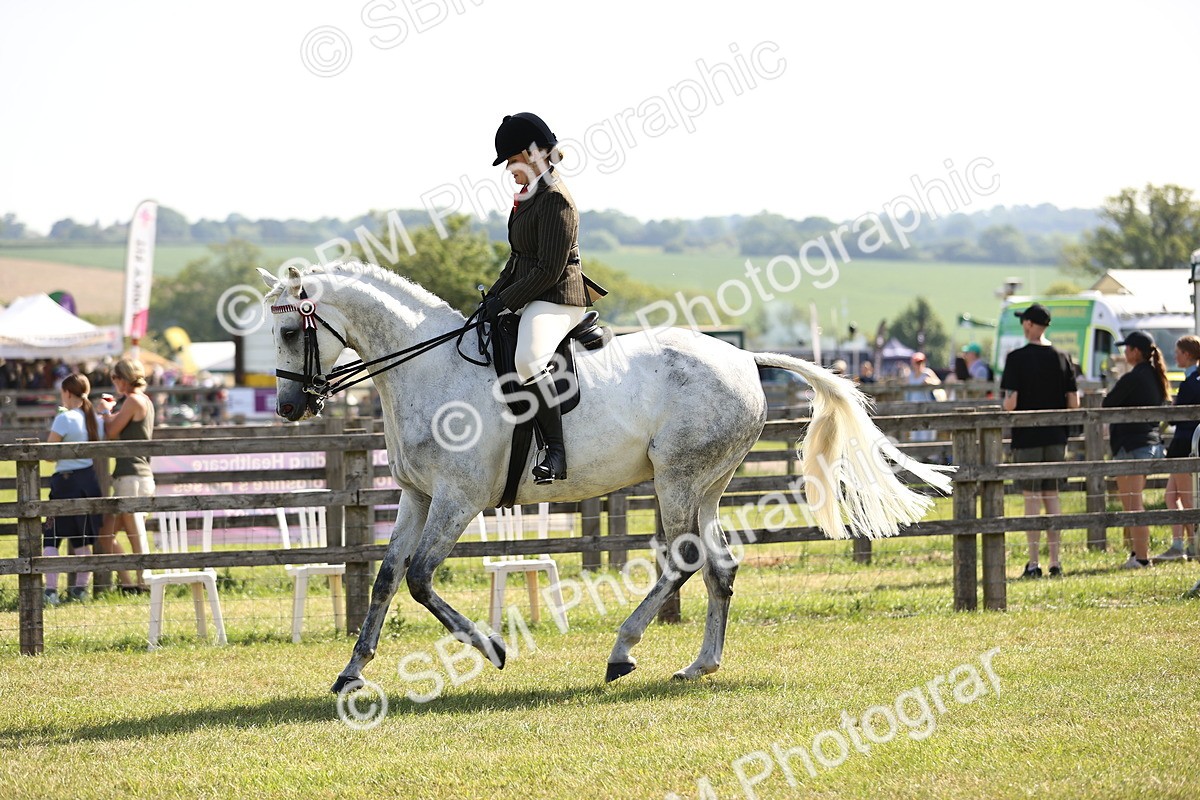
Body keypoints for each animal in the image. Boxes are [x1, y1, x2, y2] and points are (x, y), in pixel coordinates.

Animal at [257, 262, 953, 692]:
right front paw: (351, 673)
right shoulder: (415, 496)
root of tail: (743, 357)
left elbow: (423, 580)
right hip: (705, 484)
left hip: (677, 479)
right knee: (719, 566)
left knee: (683, 560)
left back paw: (622, 651)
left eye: (290, 329)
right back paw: (700, 665)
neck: (428, 368)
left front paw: (493, 649)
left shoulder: (458, 499)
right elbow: (386, 577)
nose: (289, 407)